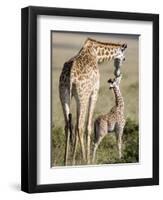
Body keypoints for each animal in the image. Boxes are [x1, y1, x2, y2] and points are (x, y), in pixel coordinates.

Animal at [59, 38, 127, 166]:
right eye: (124, 59)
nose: (117, 73)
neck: (96, 54)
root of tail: (70, 75)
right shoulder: (94, 92)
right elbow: (89, 126)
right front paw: (88, 159)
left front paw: (74, 159)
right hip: (83, 96)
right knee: (80, 126)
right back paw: (84, 159)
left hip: (64, 95)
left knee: (68, 126)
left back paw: (66, 161)